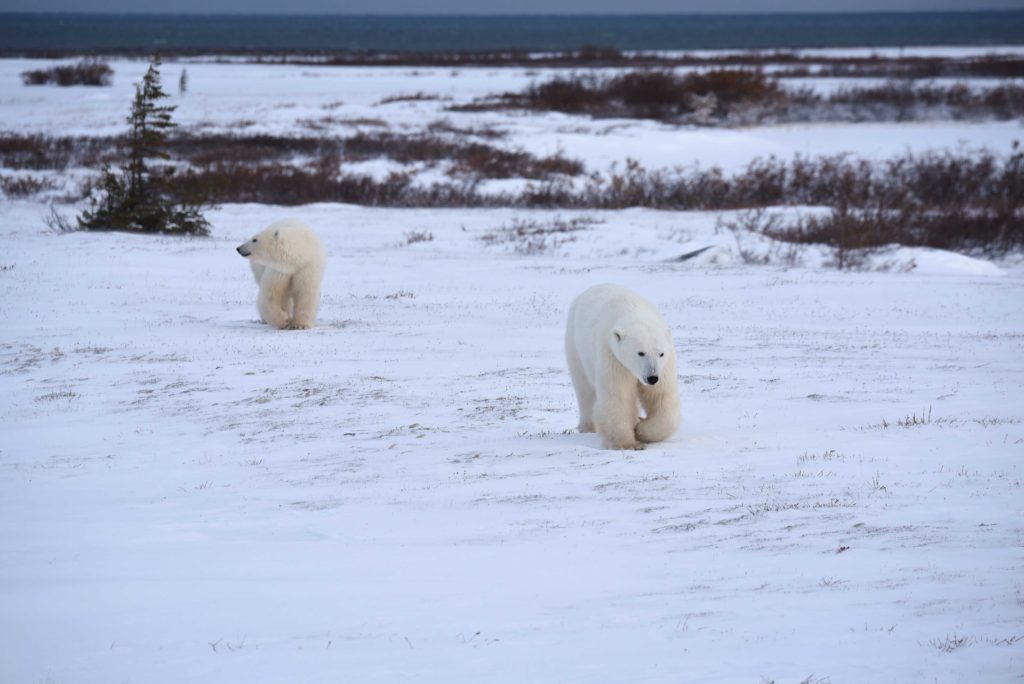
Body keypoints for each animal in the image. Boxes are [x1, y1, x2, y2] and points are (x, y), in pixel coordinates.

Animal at [565, 283, 681, 450]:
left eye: (661, 354)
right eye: (640, 353)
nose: (652, 378)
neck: (632, 310)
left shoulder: (664, 367)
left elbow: (661, 397)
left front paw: (640, 429)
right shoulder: (613, 356)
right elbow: (618, 396)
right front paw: (628, 443)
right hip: (575, 347)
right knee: (584, 389)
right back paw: (588, 427)